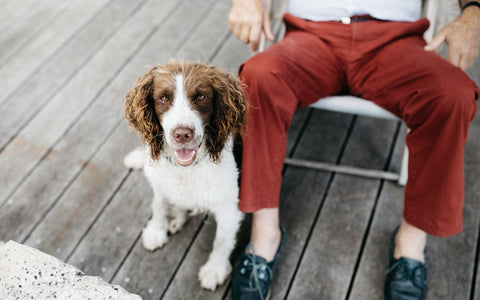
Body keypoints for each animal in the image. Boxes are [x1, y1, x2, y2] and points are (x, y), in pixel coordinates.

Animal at [122, 61, 248, 290]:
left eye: (201, 96)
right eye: (163, 98)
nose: (182, 134)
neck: (186, 169)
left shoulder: (229, 207)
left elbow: (222, 240)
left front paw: (214, 269)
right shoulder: (160, 182)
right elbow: (158, 204)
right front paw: (157, 230)